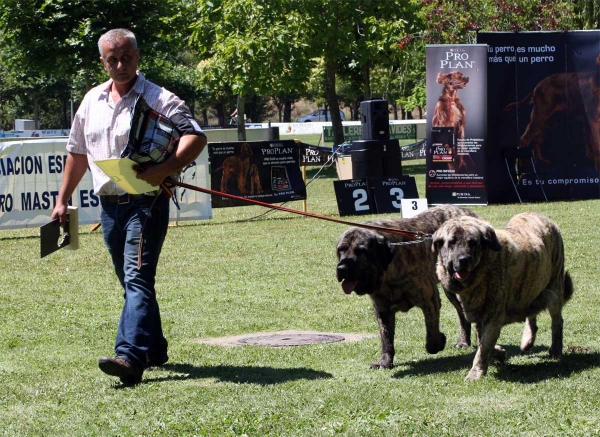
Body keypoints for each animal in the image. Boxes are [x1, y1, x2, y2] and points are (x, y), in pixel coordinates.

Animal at [338, 204, 478, 368]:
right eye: (341, 250)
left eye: (361, 251)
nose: (342, 268)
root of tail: (466, 211)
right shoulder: (382, 309)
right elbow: (386, 338)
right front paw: (384, 361)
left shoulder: (429, 300)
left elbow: (431, 336)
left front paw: (439, 341)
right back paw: (464, 341)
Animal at [434, 213, 576, 380]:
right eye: (452, 242)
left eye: (472, 243)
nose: (463, 260)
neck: (483, 270)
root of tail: (543, 217)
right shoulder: (479, 317)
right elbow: (484, 343)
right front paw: (500, 353)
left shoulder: (493, 318)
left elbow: (483, 348)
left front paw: (476, 372)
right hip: (531, 287)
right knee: (532, 313)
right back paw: (527, 338)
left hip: (554, 288)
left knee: (557, 321)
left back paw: (555, 348)